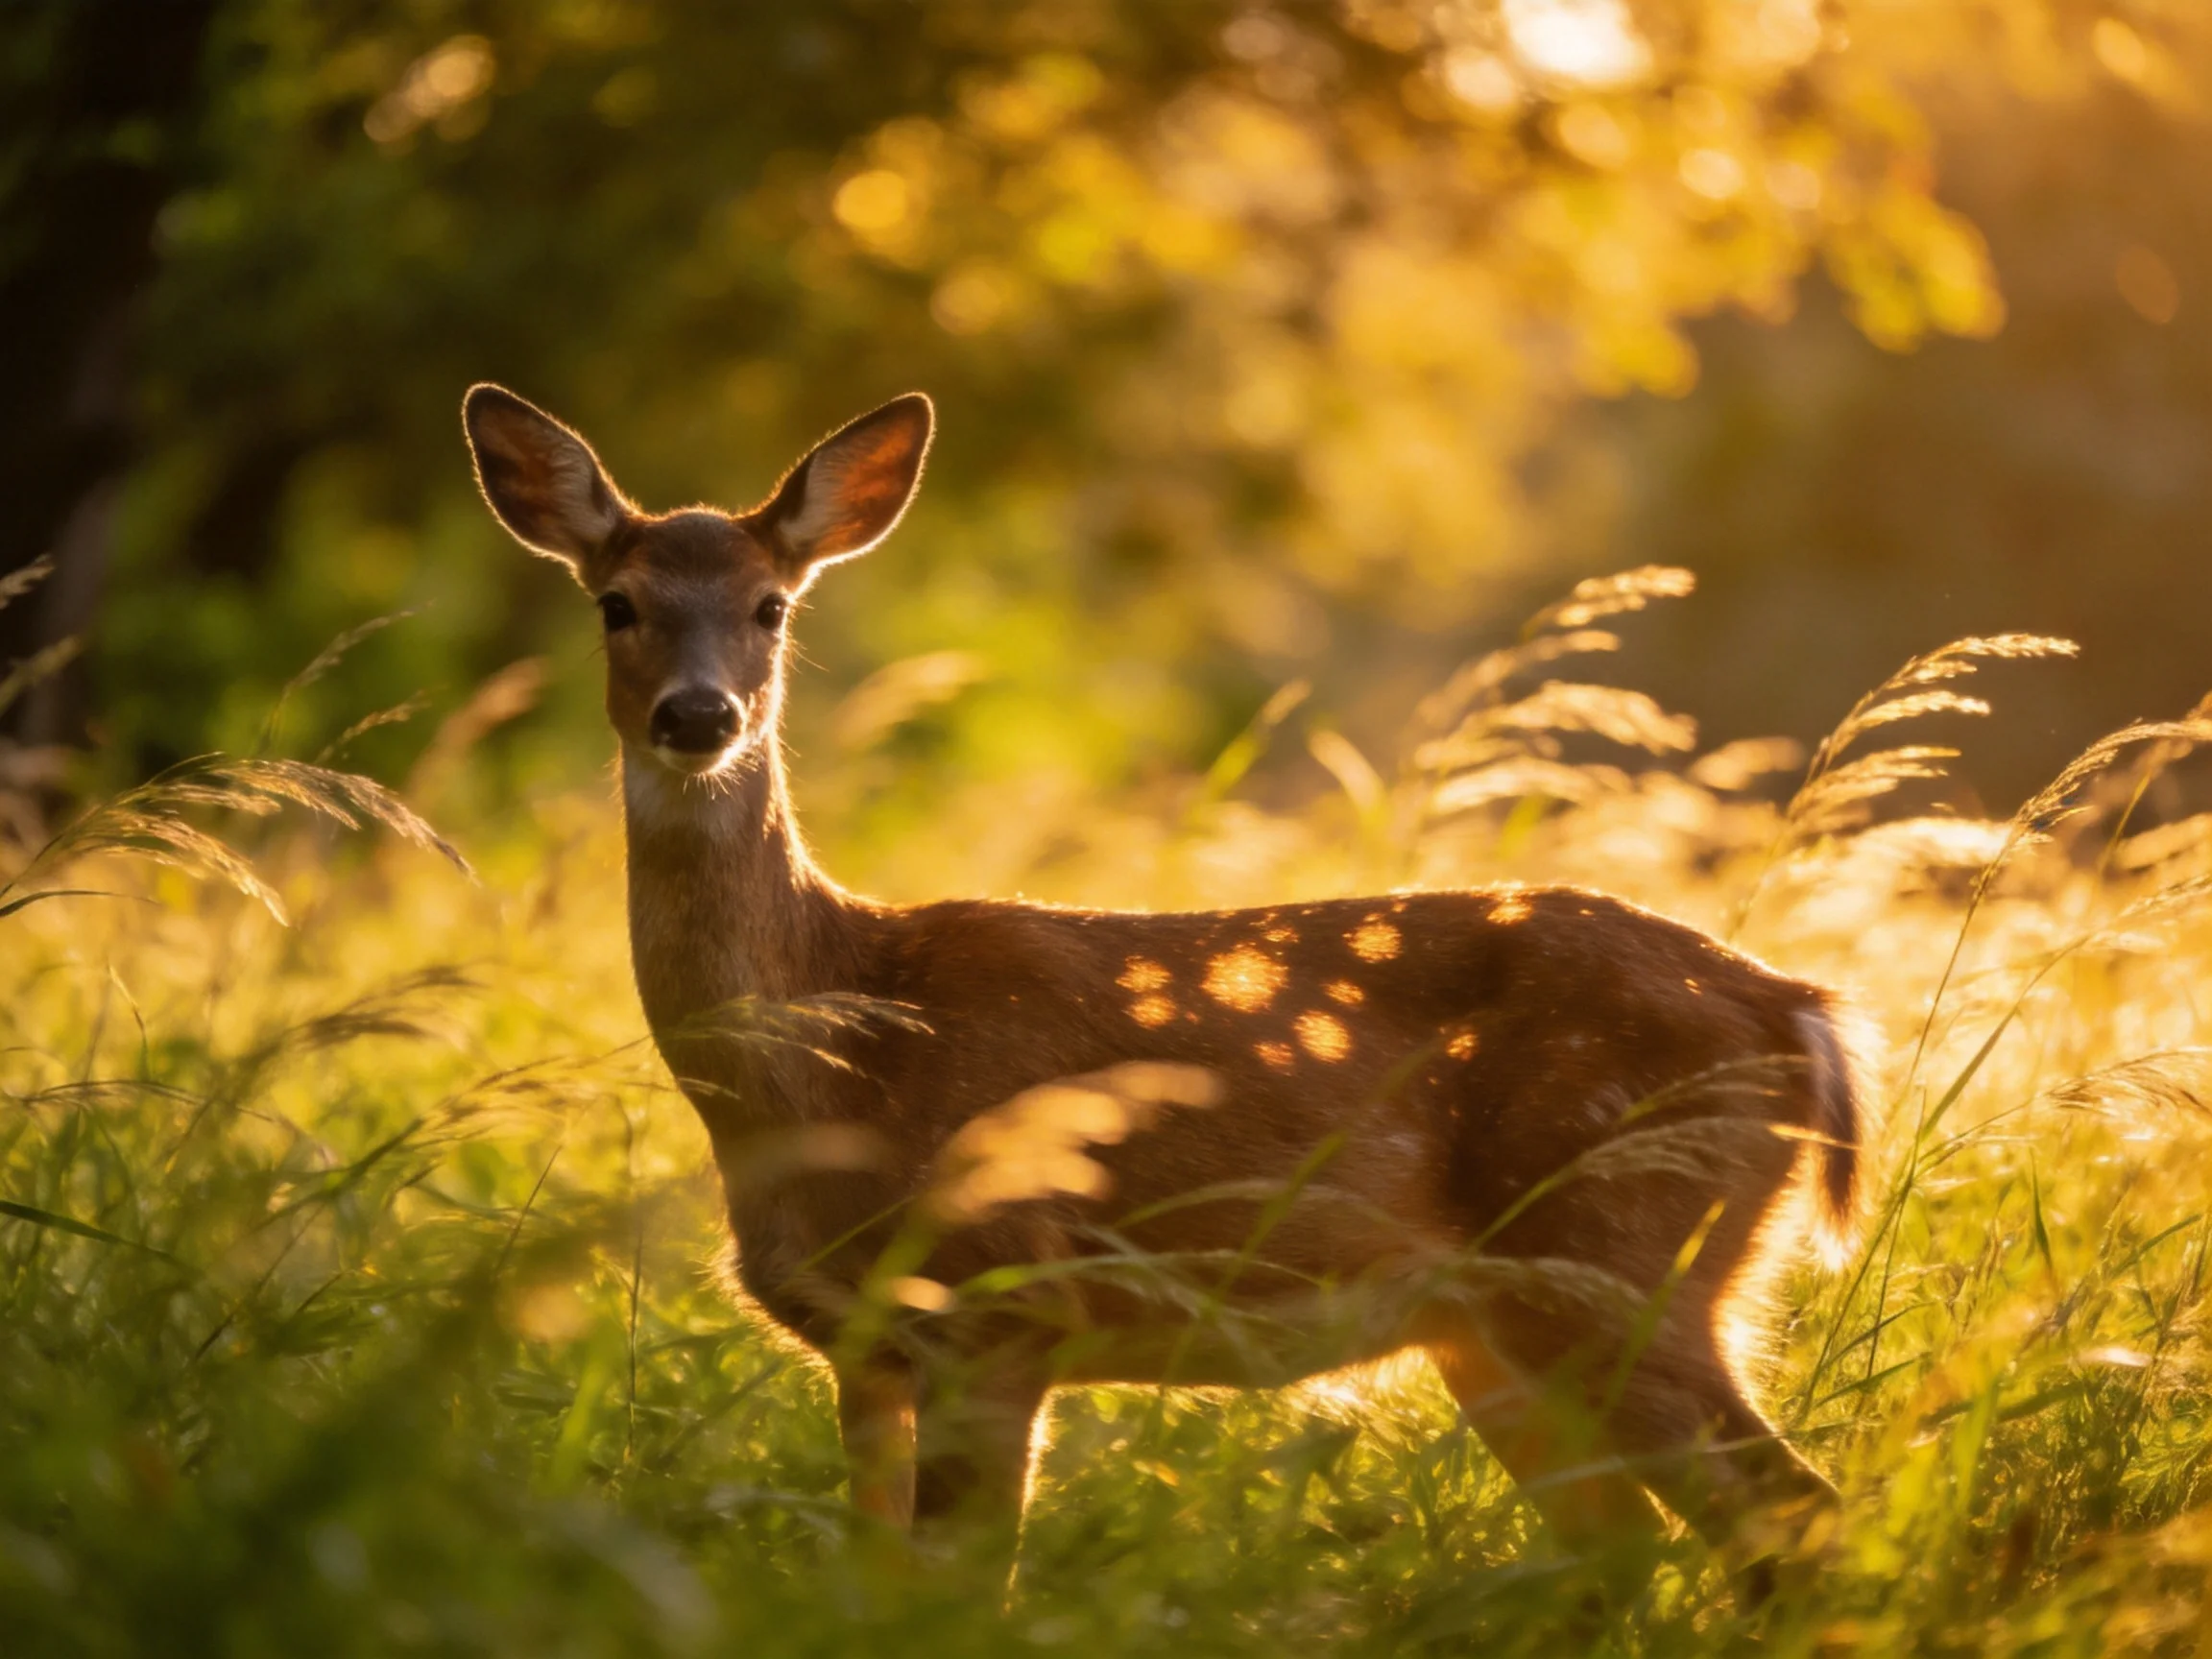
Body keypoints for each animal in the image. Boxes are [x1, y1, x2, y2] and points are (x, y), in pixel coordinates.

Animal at [462, 383, 1863, 1591]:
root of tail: (1801, 1008)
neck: (829, 1063)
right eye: (617, 602)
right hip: (1505, 1324)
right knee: (1624, 1550)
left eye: (769, 607)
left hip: (1622, 1254)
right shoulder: (861, 1348)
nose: (699, 718)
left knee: (1793, 1522)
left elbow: (965, 1593)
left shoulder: (998, 1299)